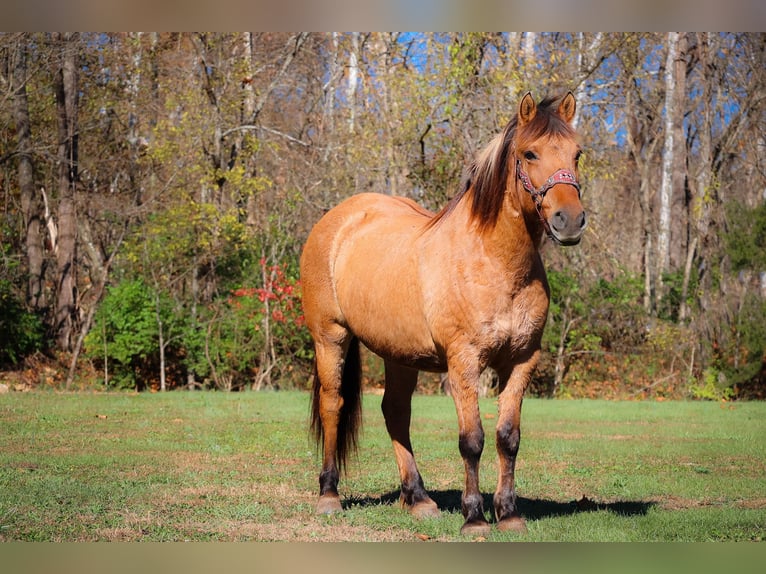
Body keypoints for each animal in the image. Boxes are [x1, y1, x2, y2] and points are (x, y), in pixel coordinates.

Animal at [300, 92, 588, 536]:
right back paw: (329, 494)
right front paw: (475, 518)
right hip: (330, 337)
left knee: (395, 413)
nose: (569, 220)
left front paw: (509, 514)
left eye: (577, 154)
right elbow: (472, 440)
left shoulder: (522, 361)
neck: (493, 261)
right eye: (530, 153)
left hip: (399, 354)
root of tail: (338, 219)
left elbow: (508, 437)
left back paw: (418, 499)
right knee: (333, 404)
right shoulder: (464, 363)